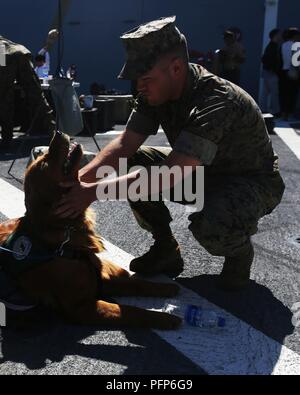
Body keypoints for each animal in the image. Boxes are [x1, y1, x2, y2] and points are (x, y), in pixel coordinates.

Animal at [0, 133, 180, 332]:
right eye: (43, 163)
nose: (57, 132)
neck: (65, 233)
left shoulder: (100, 279)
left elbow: (138, 284)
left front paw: (165, 288)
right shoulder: (82, 308)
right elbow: (131, 311)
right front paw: (165, 318)